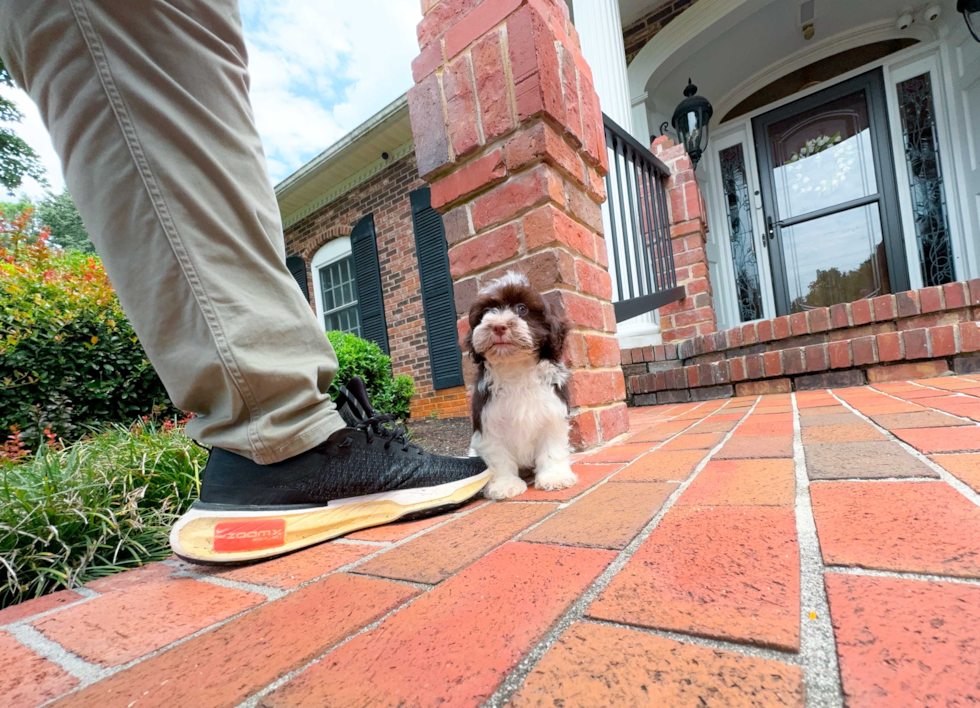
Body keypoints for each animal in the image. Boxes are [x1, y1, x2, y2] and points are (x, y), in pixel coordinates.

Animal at [466, 272, 576, 498]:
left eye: (522, 309)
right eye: (486, 312)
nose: (498, 325)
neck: (515, 367)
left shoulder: (552, 413)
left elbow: (552, 447)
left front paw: (554, 477)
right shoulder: (489, 422)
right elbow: (498, 455)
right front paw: (505, 484)